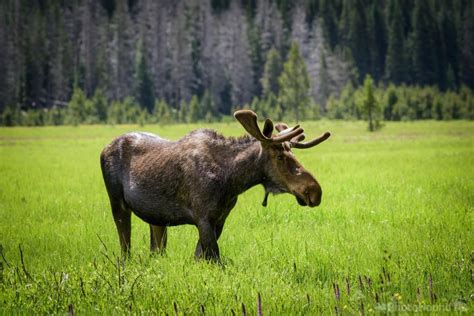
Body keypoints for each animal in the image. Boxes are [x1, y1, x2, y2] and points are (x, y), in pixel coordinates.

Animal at [100, 110, 330, 260]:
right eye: (280, 156)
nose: (315, 191)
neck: (232, 181)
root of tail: (103, 149)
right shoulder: (203, 217)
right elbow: (214, 259)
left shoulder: (220, 219)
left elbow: (200, 258)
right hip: (117, 203)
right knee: (125, 248)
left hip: (157, 218)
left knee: (155, 250)